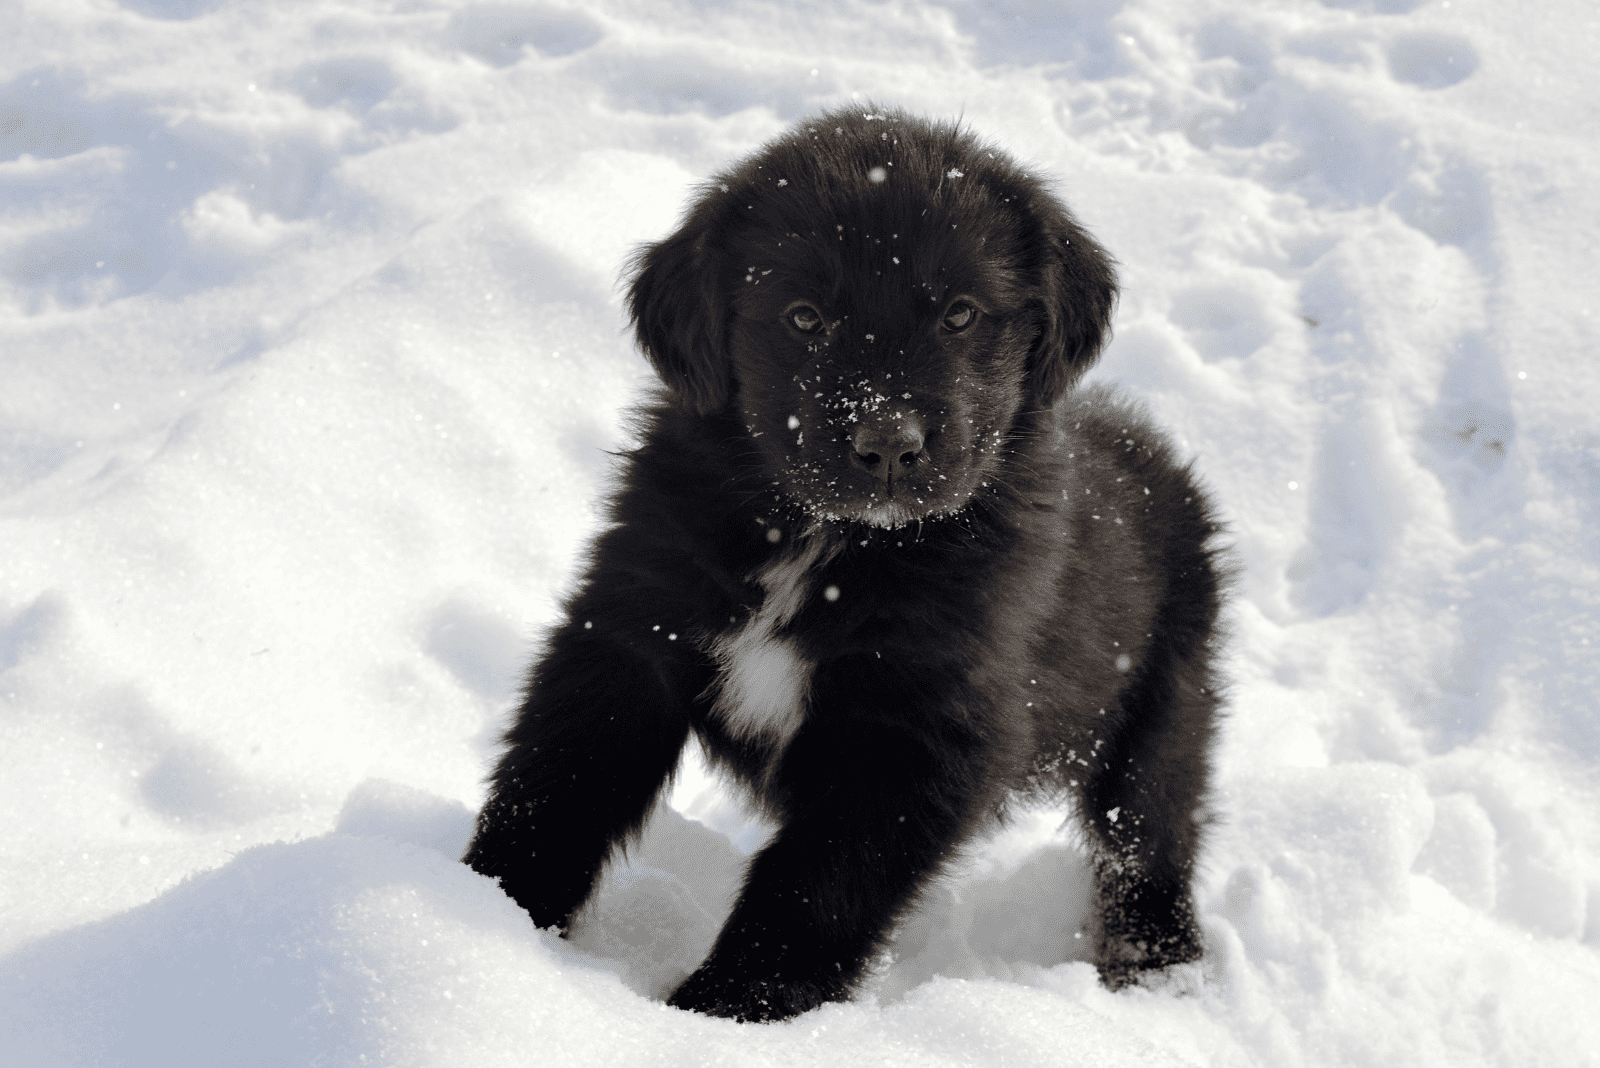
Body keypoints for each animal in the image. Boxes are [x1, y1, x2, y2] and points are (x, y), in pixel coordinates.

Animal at [464, 103, 1222, 1023]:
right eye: (802, 318)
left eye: (960, 315)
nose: (888, 442)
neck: (823, 545)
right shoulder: (630, 626)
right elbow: (558, 781)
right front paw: (483, 905)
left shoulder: (918, 732)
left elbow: (817, 884)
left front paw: (730, 1008)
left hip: (1167, 697)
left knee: (1150, 830)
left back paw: (1158, 965)